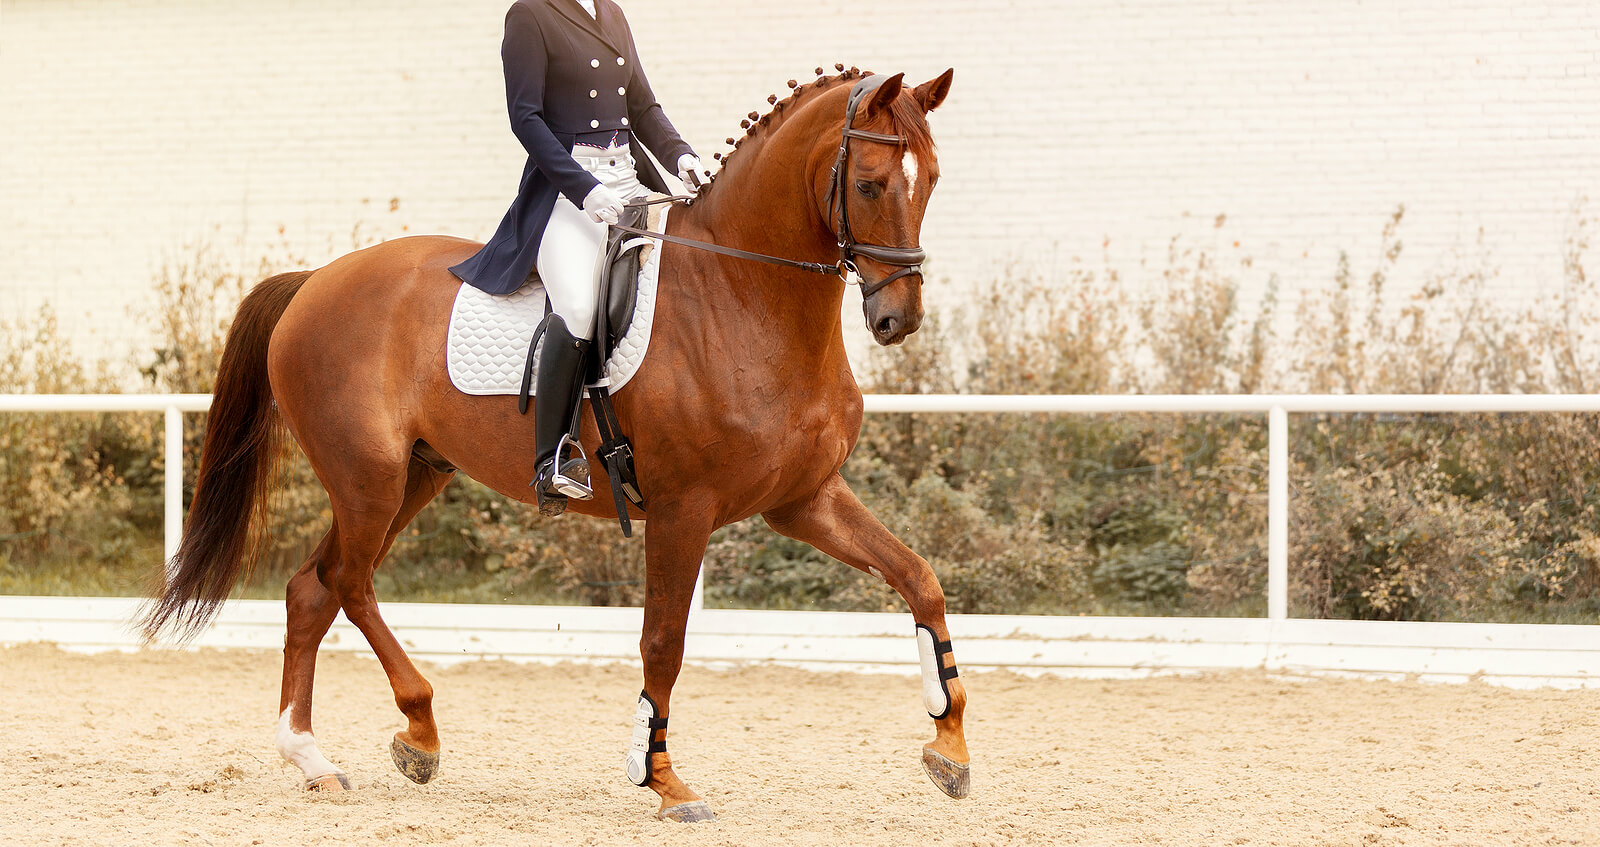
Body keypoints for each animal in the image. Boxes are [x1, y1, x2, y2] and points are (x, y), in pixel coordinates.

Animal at [137, 66, 960, 819]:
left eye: (931, 181)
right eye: (871, 184)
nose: (899, 319)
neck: (744, 295)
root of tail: (312, 282)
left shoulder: (803, 500)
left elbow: (919, 577)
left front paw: (949, 746)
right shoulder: (684, 507)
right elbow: (663, 640)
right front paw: (660, 778)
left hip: (414, 476)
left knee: (313, 588)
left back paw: (312, 759)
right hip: (367, 478)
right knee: (348, 581)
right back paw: (418, 729)